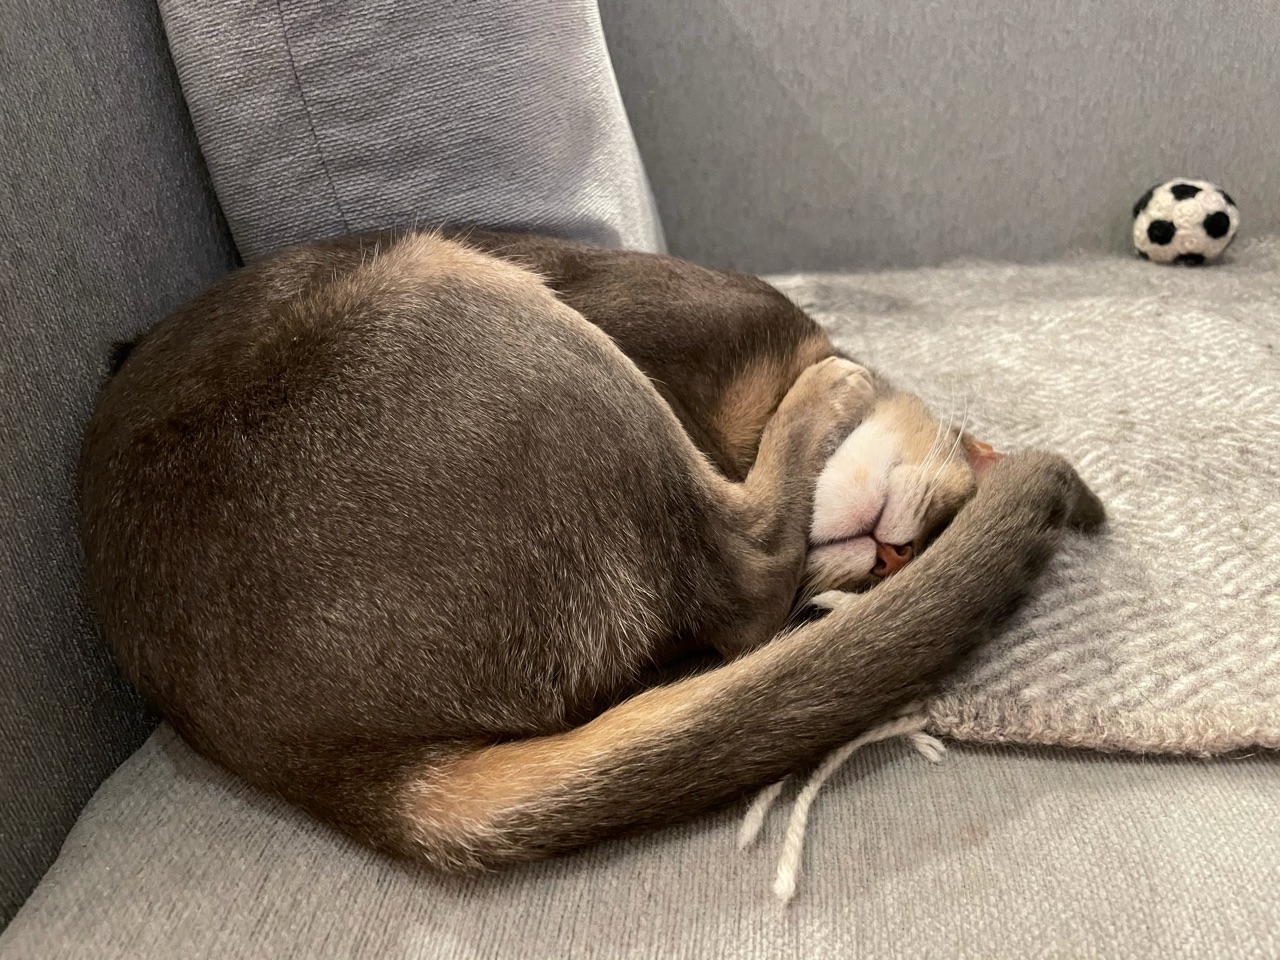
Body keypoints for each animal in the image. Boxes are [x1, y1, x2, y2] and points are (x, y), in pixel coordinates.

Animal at [78, 227, 1104, 871]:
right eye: (945, 505)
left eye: (918, 550)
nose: (894, 558)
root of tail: (333, 766)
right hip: (468, 288)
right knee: (746, 575)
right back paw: (828, 388)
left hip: (463, 303)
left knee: (747, 578)